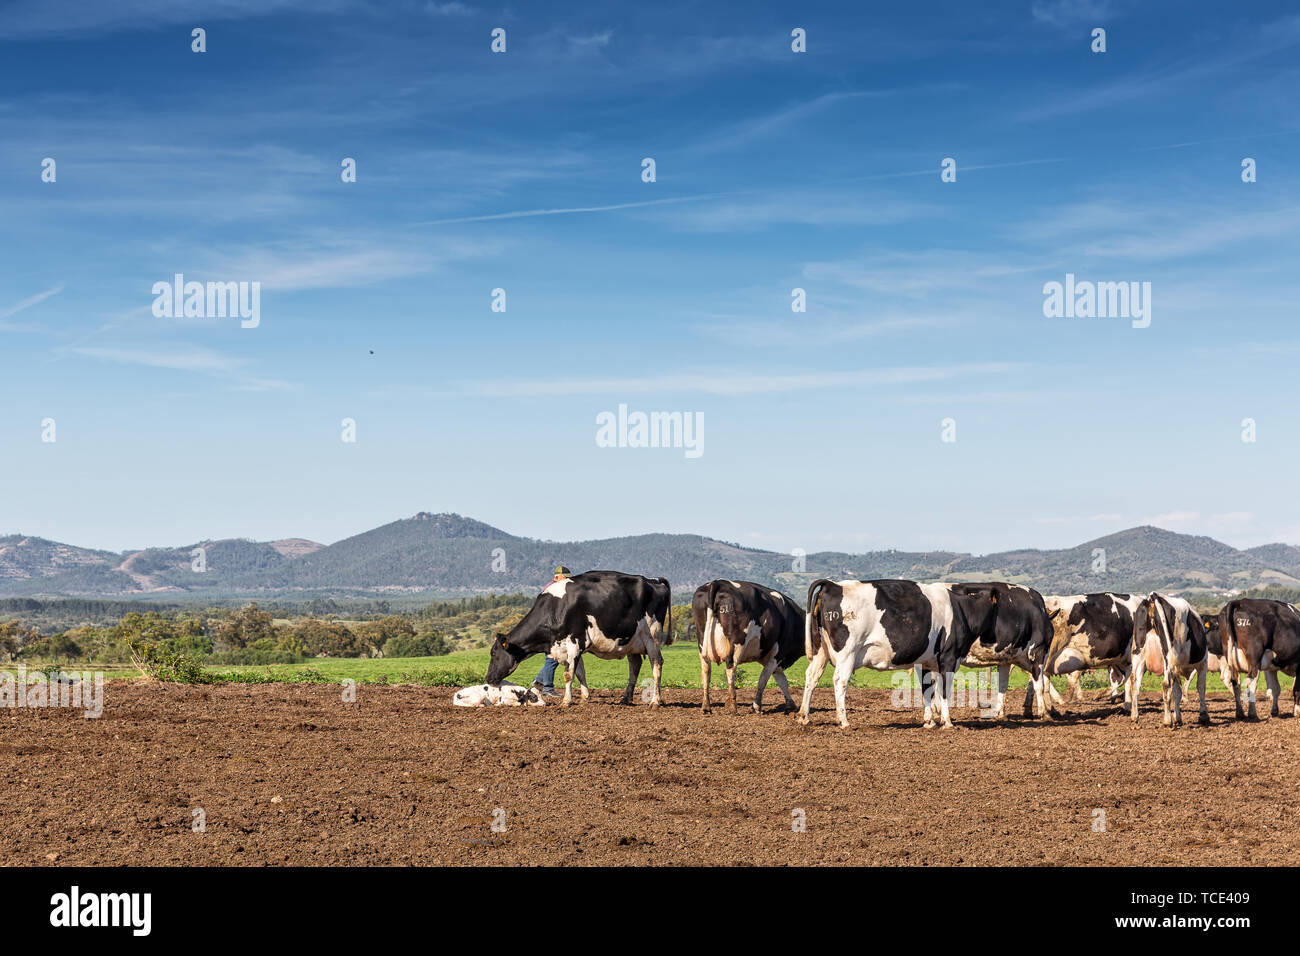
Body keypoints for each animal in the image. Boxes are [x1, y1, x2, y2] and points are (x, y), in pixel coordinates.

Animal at [484, 571, 672, 707]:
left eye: (493, 653)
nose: (488, 678)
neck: (556, 608)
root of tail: (654, 581)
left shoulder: (574, 642)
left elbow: (569, 674)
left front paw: (566, 701)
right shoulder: (569, 646)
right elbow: (580, 672)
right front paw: (584, 698)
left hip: (652, 637)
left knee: (657, 665)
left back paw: (655, 701)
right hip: (632, 640)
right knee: (635, 666)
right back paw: (626, 699)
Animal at [692, 580, 804, 713]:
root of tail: (718, 582)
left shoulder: (773, 660)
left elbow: (782, 681)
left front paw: (791, 704)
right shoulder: (777, 655)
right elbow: (763, 680)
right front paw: (756, 706)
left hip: (702, 642)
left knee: (706, 671)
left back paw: (706, 706)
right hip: (737, 644)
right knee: (730, 669)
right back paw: (732, 706)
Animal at [798, 579, 1001, 729]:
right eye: (998, 611)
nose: (994, 639)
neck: (961, 611)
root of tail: (833, 584)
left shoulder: (926, 662)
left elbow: (927, 690)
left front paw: (929, 722)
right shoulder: (949, 658)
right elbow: (944, 691)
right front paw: (948, 722)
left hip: (820, 650)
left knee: (811, 677)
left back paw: (803, 716)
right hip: (847, 653)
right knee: (840, 680)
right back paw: (844, 721)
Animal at [951, 582, 1055, 720]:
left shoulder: (1005, 658)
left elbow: (1003, 685)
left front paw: (1000, 713)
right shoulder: (1039, 652)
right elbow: (1040, 685)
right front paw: (1044, 714)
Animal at [1129, 593, 1208, 726]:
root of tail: (1153, 597)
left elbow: (1177, 692)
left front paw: (1178, 717)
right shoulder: (1203, 663)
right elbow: (1200, 687)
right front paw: (1203, 715)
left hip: (1139, 656)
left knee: (1134, 683)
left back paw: (1134, 716)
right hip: (1168, 659)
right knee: (1166, 684)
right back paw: (1167, 720)